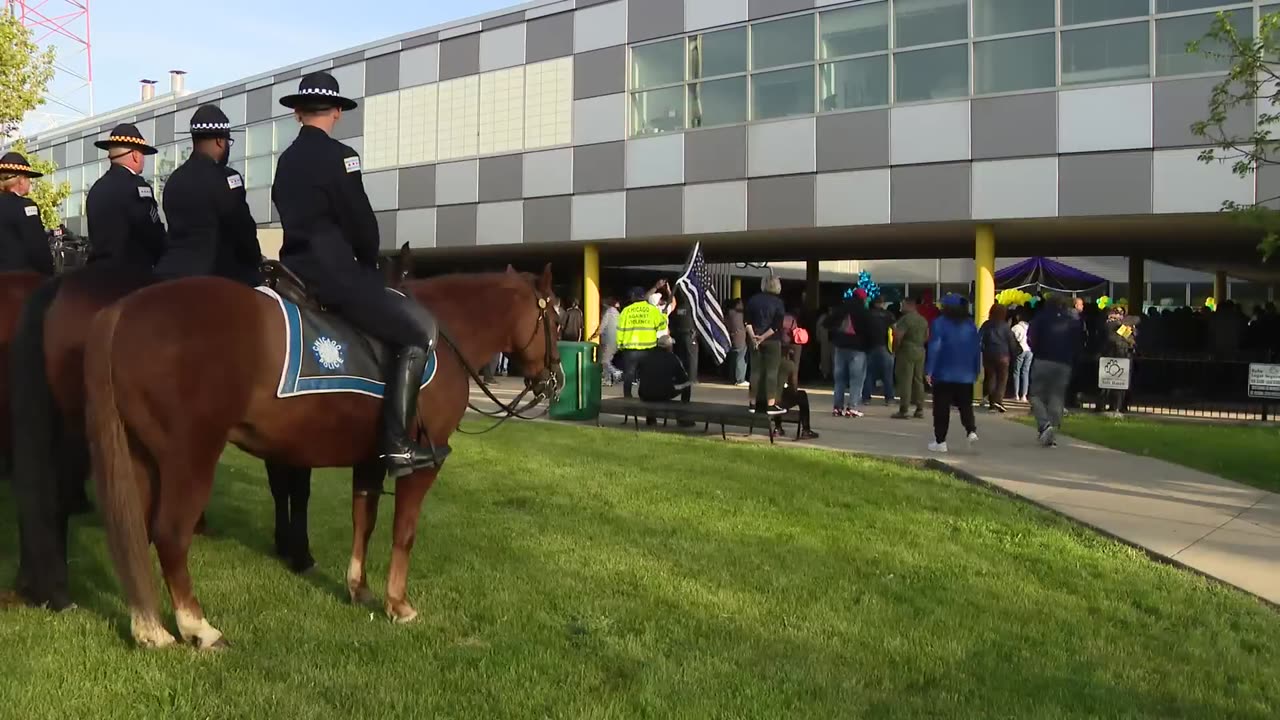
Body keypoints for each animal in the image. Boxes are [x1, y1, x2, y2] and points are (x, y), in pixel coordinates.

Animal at [85, 266, 555, 648]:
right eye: (554, 316)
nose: (554, 381)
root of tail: (124, 309)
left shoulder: (371, 458)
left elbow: (364, 521)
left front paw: (359, 589)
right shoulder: (423, 462)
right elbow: (403, 531)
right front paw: (398, 604)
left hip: (142, 458)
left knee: (137, 532)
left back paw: (149, 629)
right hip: (190, 458)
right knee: (170, 534)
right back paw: (198, 628)